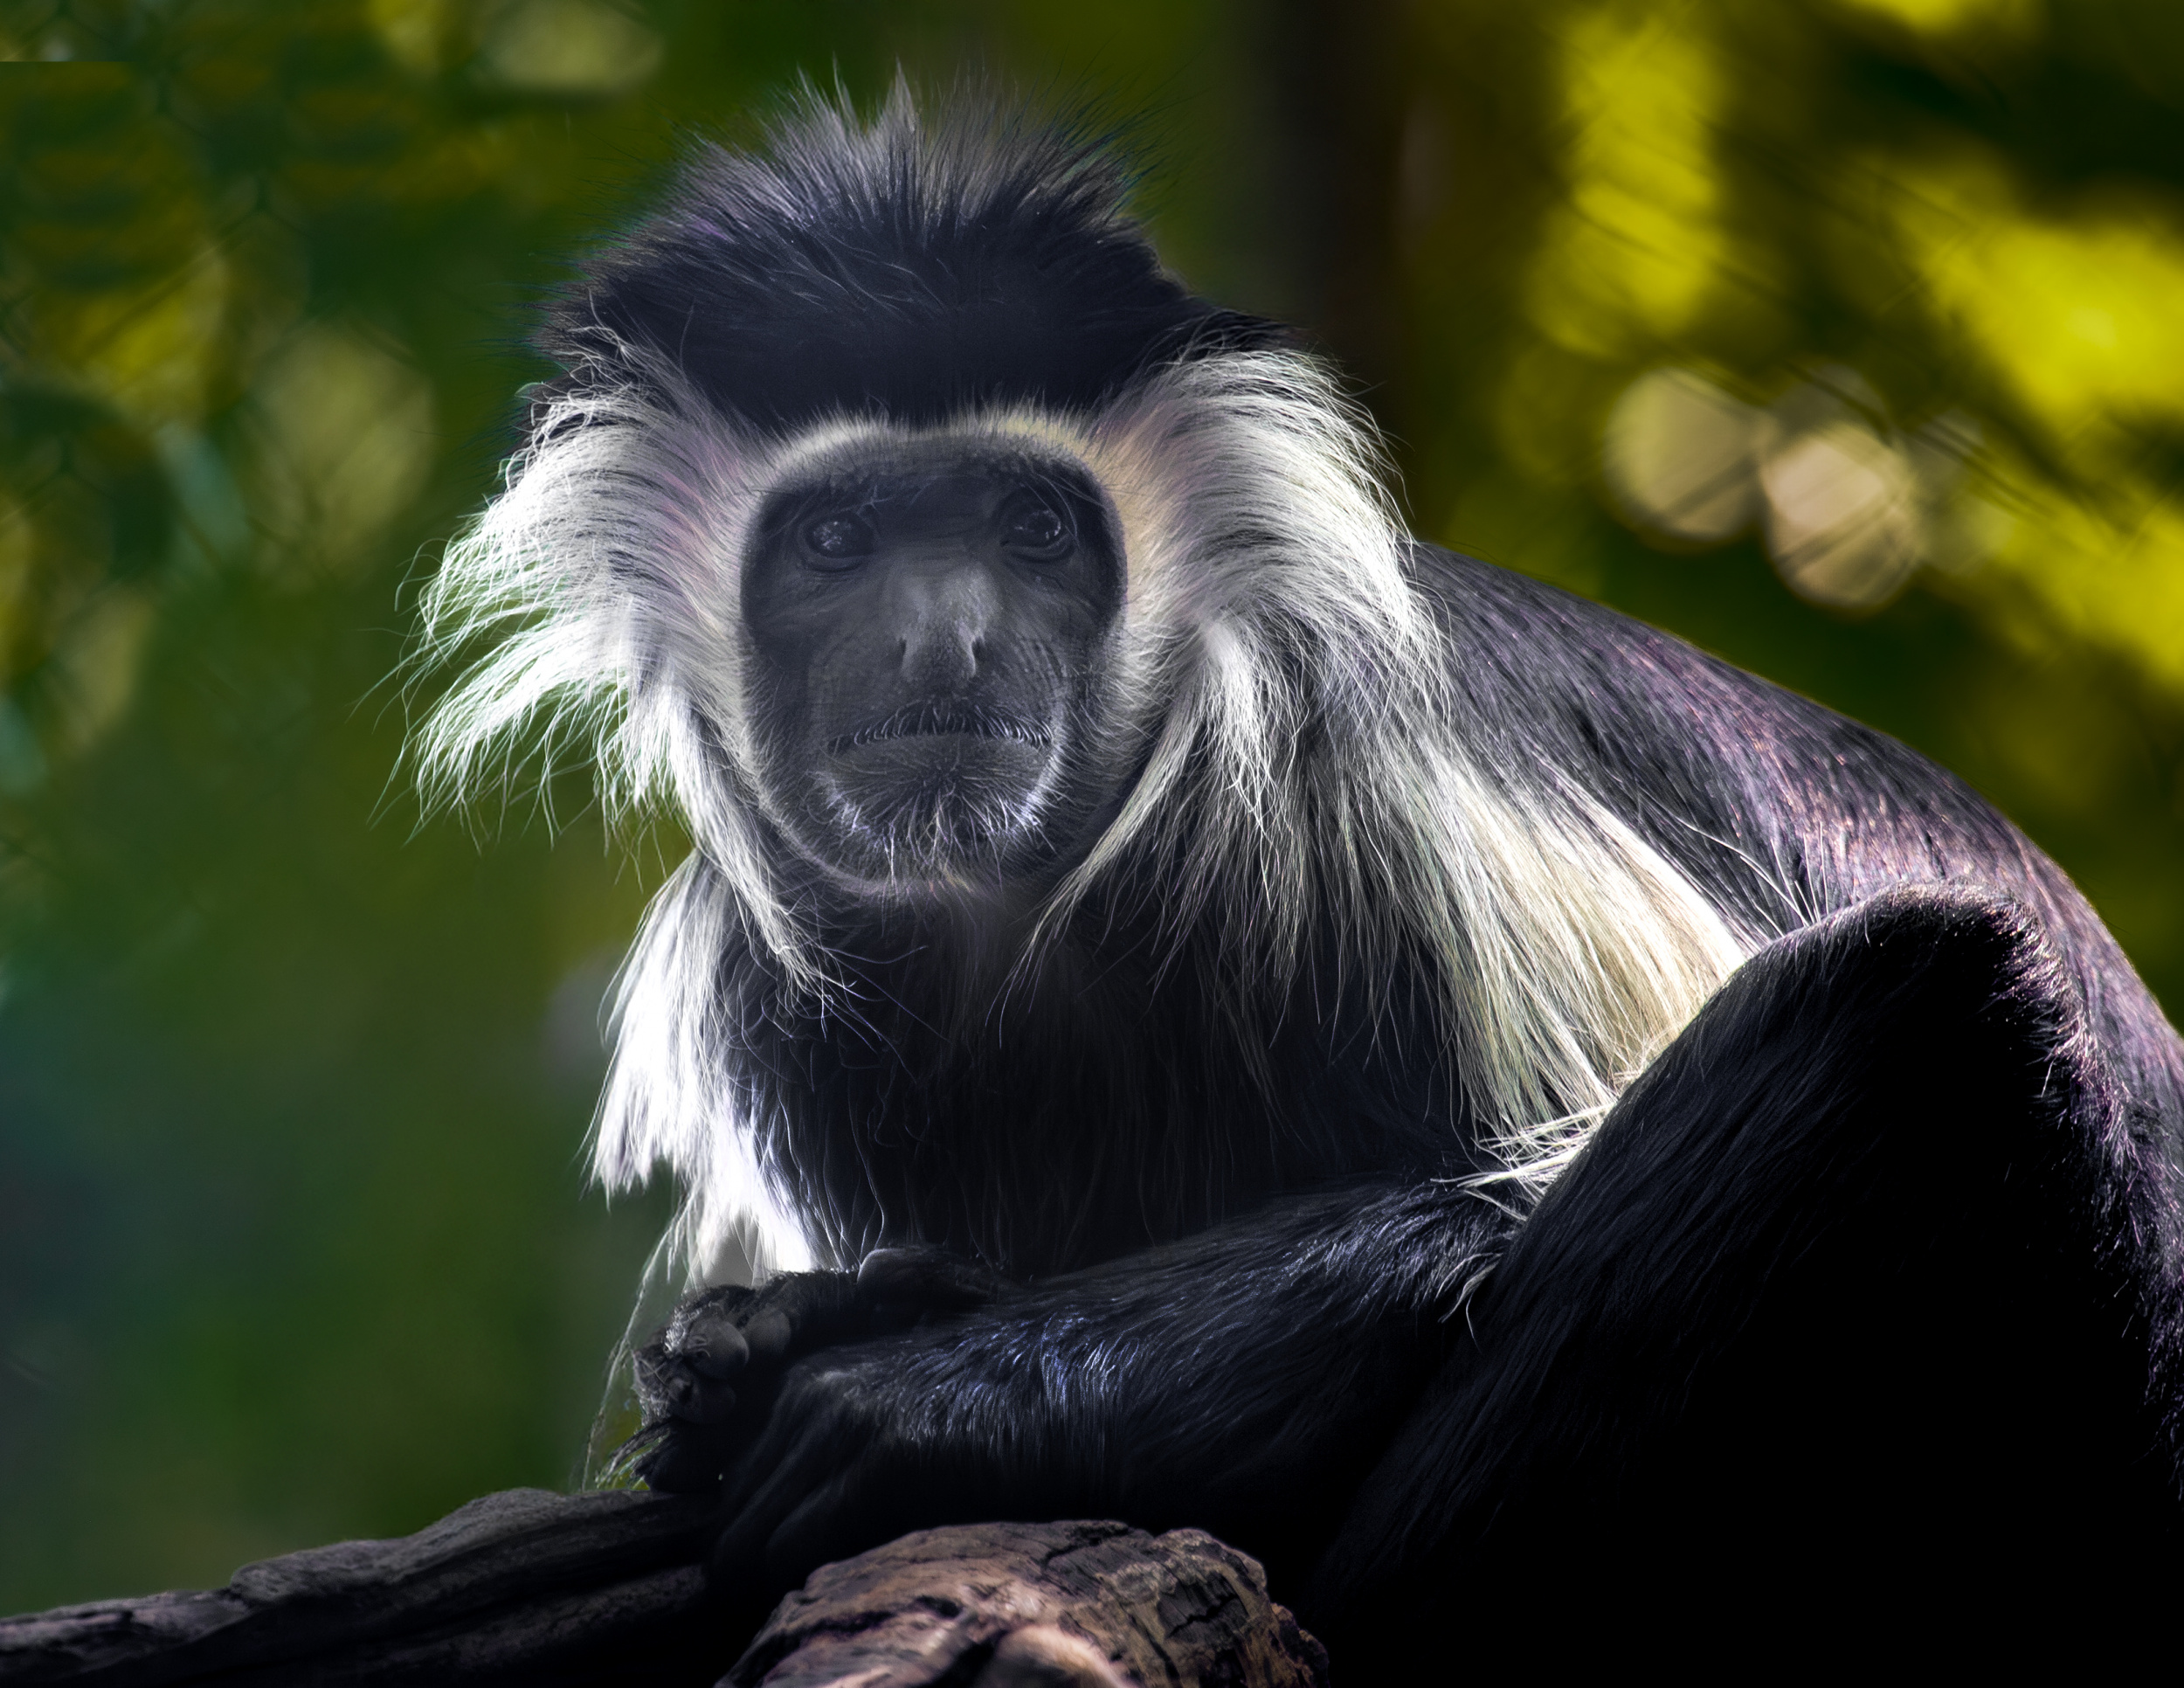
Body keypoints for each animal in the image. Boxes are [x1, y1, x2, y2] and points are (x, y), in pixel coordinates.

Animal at [412, 85, 2184, 1665]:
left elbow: (1498, 1206)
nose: (947, 640)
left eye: (1034, 527)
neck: (1034, 903)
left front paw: (923, 1396)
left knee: (1919, 998)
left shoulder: (1375, 800)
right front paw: (781, 1335)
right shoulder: (791, 1009)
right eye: (837, 540)